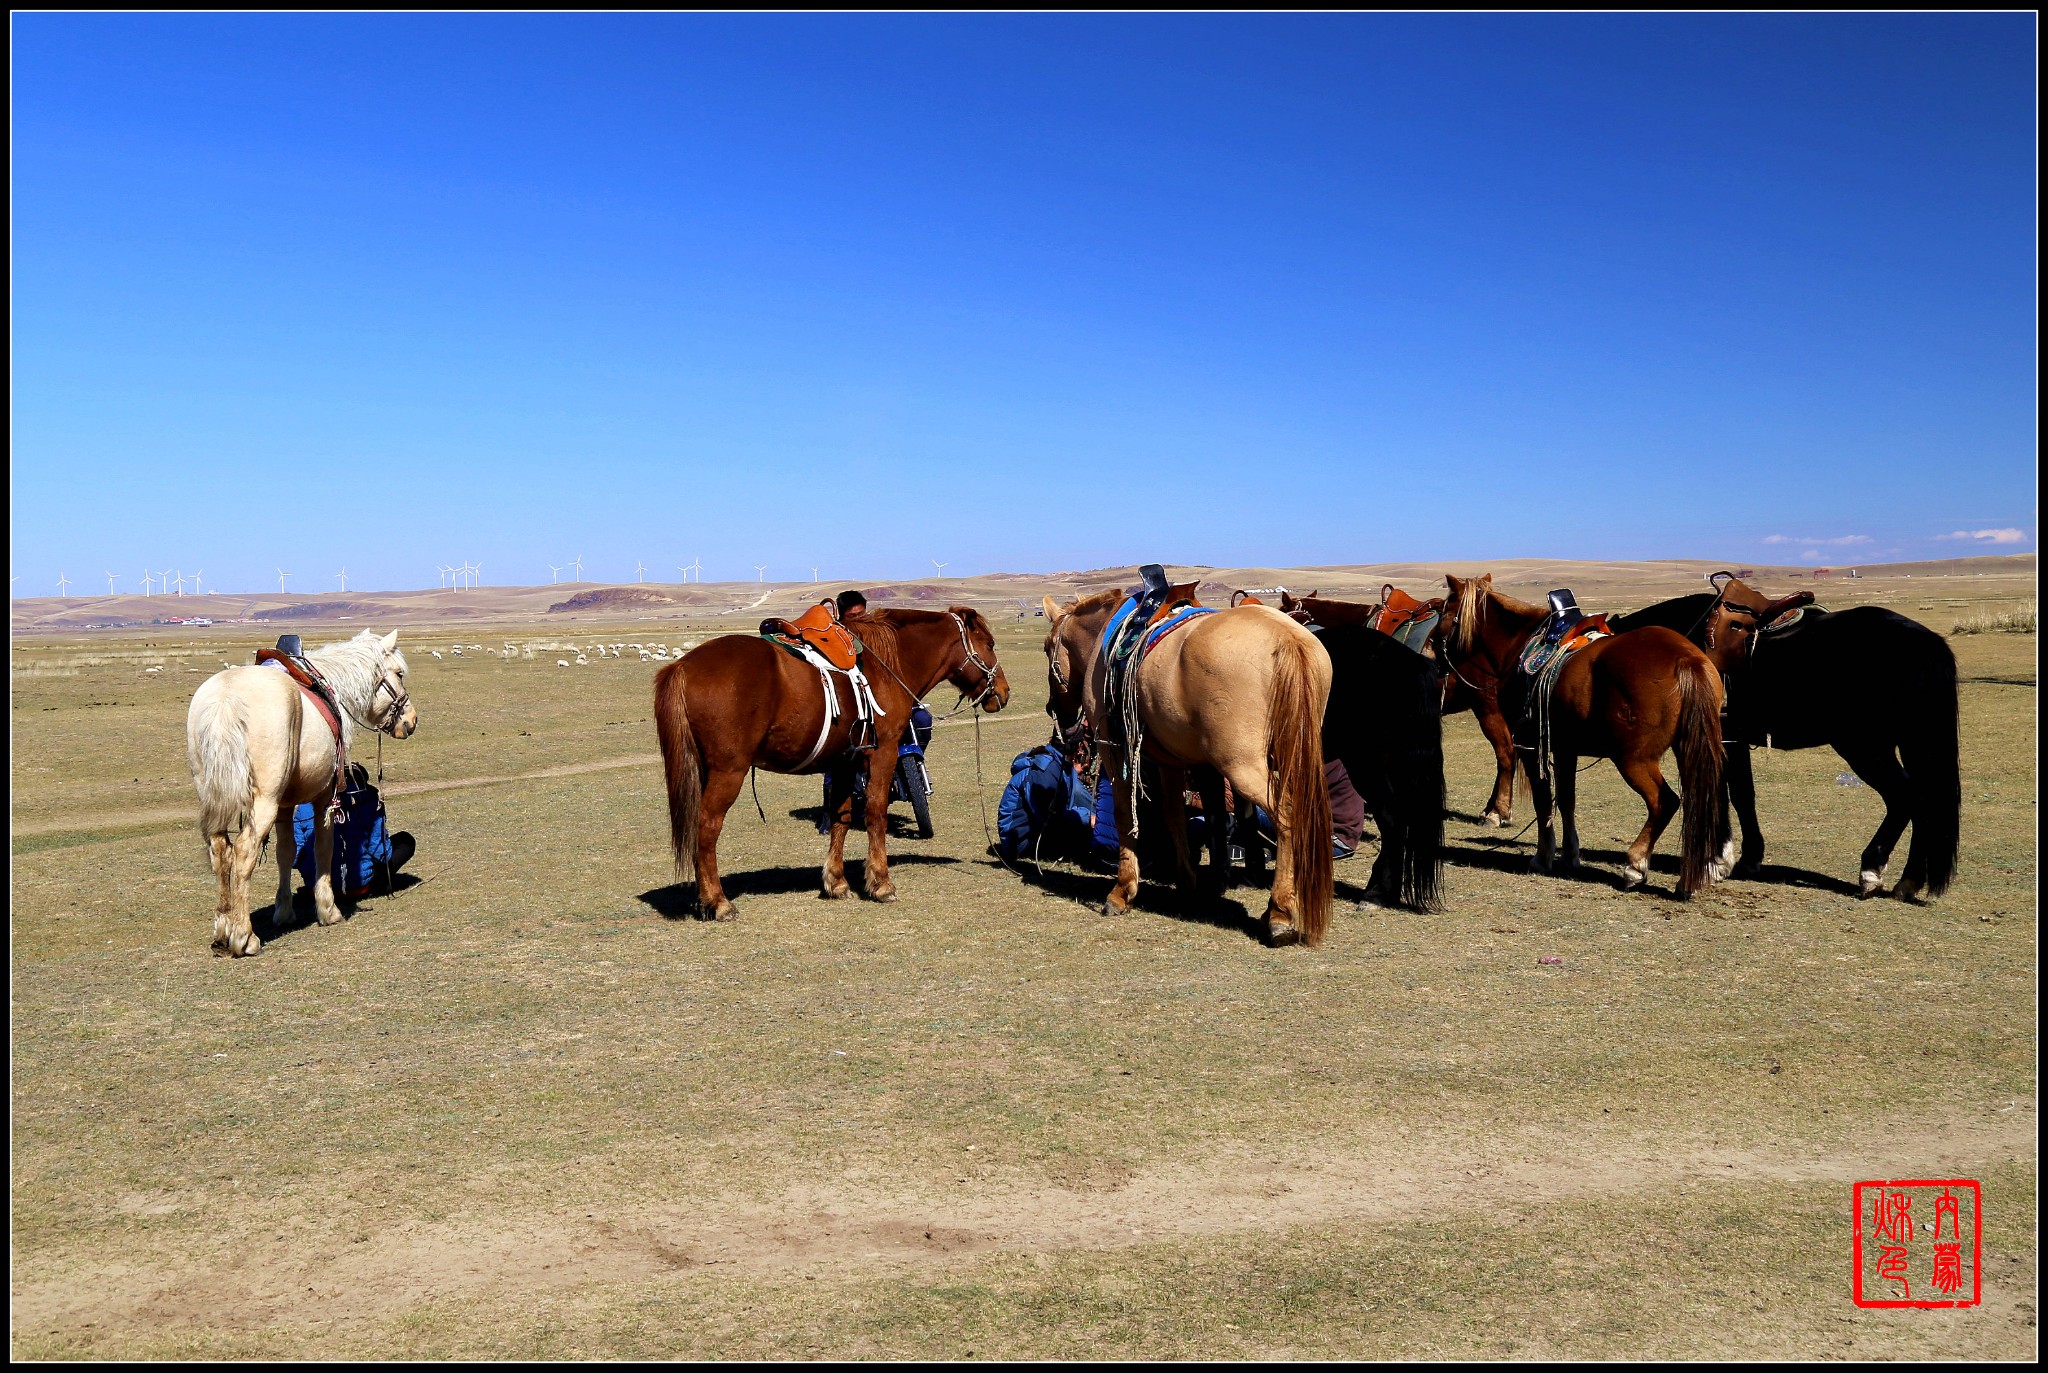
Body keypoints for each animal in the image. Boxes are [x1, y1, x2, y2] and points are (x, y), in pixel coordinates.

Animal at [186, 631, 417, 959]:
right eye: (398, 674)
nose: (411, 720)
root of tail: (225, 700)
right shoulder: (326, 797)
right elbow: (324, 848)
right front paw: (328, 911)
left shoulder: (285, 805)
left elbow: (286, 852)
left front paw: (284, 912)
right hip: (263, 800)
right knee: (244, 851)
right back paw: (244, 937)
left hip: (213, 794)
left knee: (221, 851)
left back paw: (222, 933)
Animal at [655, 606, 1007, 918]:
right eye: (990, 644)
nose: (1003, 691)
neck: (887, 665)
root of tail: (682, 667)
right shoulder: (883, 753)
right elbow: (876, 811)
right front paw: (881, 883)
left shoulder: (844, 761)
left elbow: (842, 816)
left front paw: (836, 882)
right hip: (728, 771)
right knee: (707, 827)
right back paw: (718, 902)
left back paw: (704, 900)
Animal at [1048, 586, 1335, 950]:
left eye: (1047, 647)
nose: (1057, 714)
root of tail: (1287, 638)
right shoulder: (1182, 760)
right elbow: (1187, 816)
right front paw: (1195, 883)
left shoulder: (1117, 751)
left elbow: (1129, 816)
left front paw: (1123, 891)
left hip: (1243, 766)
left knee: (1287, 816)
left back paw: (1280, 914)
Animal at [1433, 573, 1736, 897]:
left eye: (1444, 611)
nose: (1432, 650)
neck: (1515, 648)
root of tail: (1686, 659)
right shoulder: (1565, 747)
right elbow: (1567, 800)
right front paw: (1569, 855)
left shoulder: (1531, 745)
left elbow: (1543, 800)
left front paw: (1542, 857)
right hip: (1692, 745)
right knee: (1710, 794)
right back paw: (1707, 869)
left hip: (1634, 759)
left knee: (1664, 802)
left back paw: (1636, 866)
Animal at [1605, 573, 1957, 901]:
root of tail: (1926, 642)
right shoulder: (1734, 740)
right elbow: (1743, 794)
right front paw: (1746, 859)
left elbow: (1721, 792)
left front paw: (1716, 862)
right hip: (1909, 744)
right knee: (1923, 801)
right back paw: (1908, 882)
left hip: (1864, 747)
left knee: (1904, 797)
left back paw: (1872, 871)